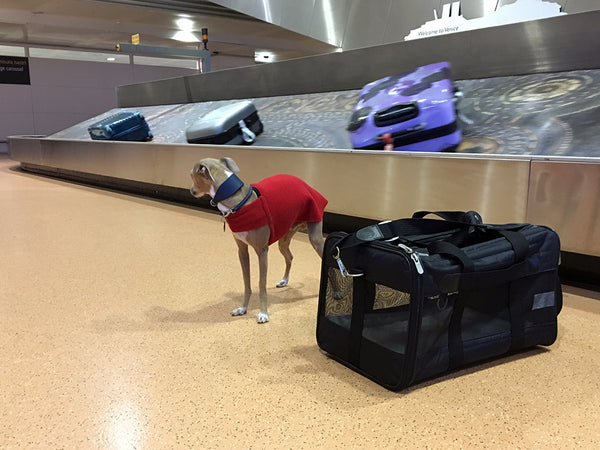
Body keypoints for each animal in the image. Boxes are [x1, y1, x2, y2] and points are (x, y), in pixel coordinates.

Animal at [192, 156, 330, 322]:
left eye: (191, 175)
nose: (191, 191)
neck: (239, 203)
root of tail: (307, 185)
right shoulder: (242, 251)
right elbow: (247, 283)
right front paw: (243, 308)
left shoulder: (262, 251)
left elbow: (261, 284)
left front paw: (263, 312)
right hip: (284, 238)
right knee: (289, 257)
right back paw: (284, 280)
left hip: (315, 238)